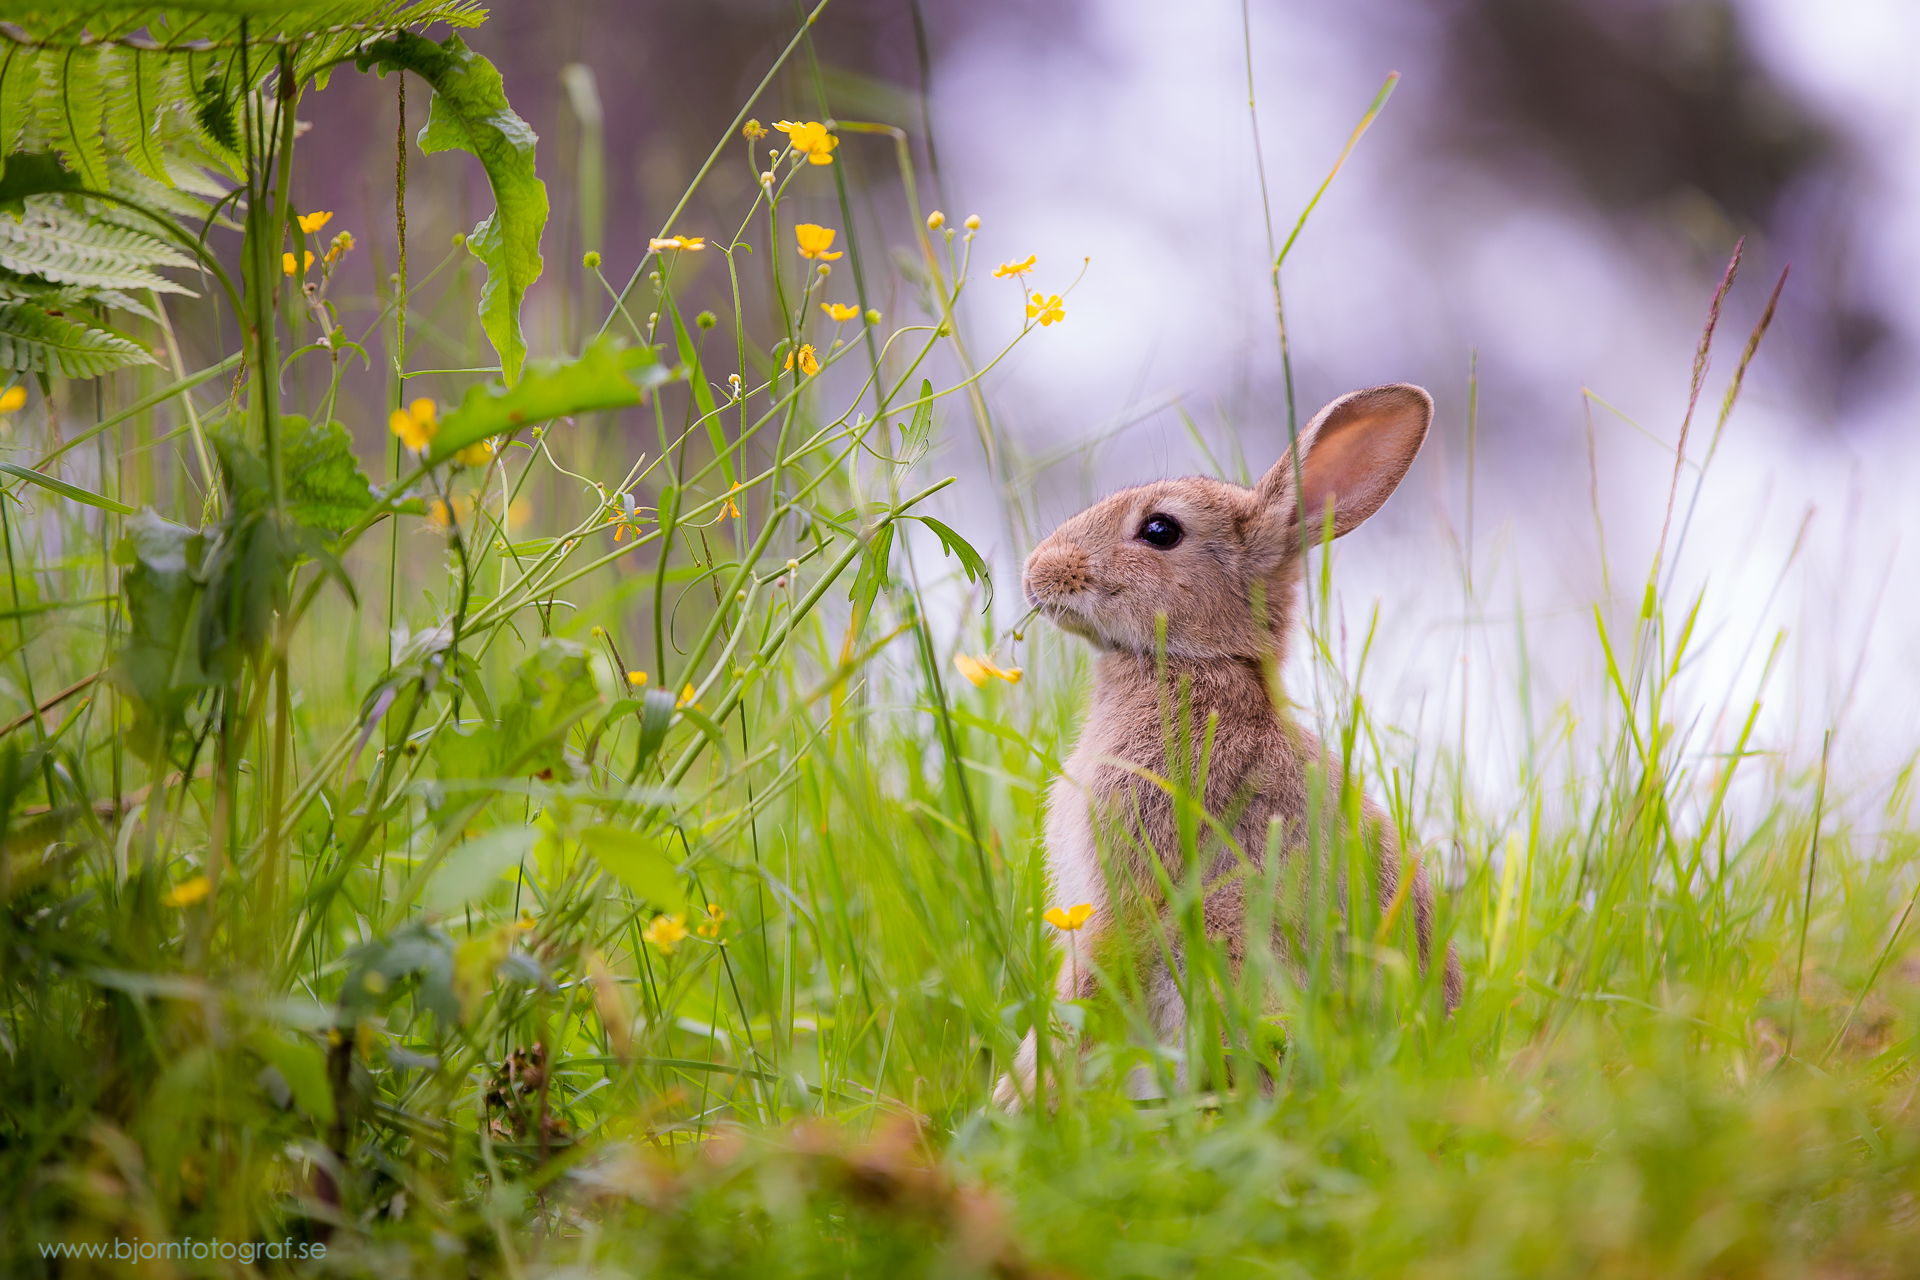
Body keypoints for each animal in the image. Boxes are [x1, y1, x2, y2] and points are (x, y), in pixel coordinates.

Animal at [998, 383, 1459, 1113]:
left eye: (1161, 530)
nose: (1036, 571)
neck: (1196, 662)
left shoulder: (1134, 875)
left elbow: (1084, 991)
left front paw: (1013, 1099)